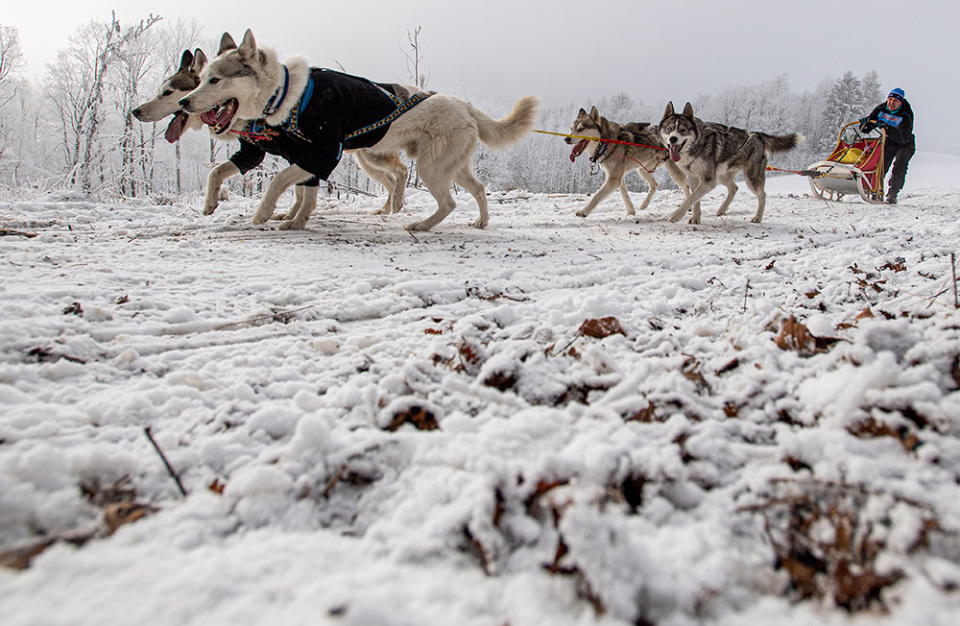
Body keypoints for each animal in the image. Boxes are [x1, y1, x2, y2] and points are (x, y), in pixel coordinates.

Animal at [180, 28, 540, 229]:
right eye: (201, 78)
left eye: (215, 80)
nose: (184, 102)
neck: (287, 94)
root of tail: (464, 104)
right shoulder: (303, 159)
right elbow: (226, 173)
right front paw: (292, 219)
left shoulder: (322, 155)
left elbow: (281, 182)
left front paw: (266, 213)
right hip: (443, 166)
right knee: (477, 189)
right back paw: (480, 221)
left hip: (429, 168)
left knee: (446, 202)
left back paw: (422, 225)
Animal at [656, 100, 808, 222]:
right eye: (669, 129)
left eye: (682, 130)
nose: (673, 139)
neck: (696, 146)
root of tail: (756, 135)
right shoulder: (694, 178)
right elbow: (694, 200)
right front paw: (696, 218)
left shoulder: (708, 181)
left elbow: (691, 198)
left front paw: (676, 215)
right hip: (723, 175)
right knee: (734, 188)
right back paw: (722, 209)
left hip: (751, 178)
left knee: (762, 195)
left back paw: (757, 217)